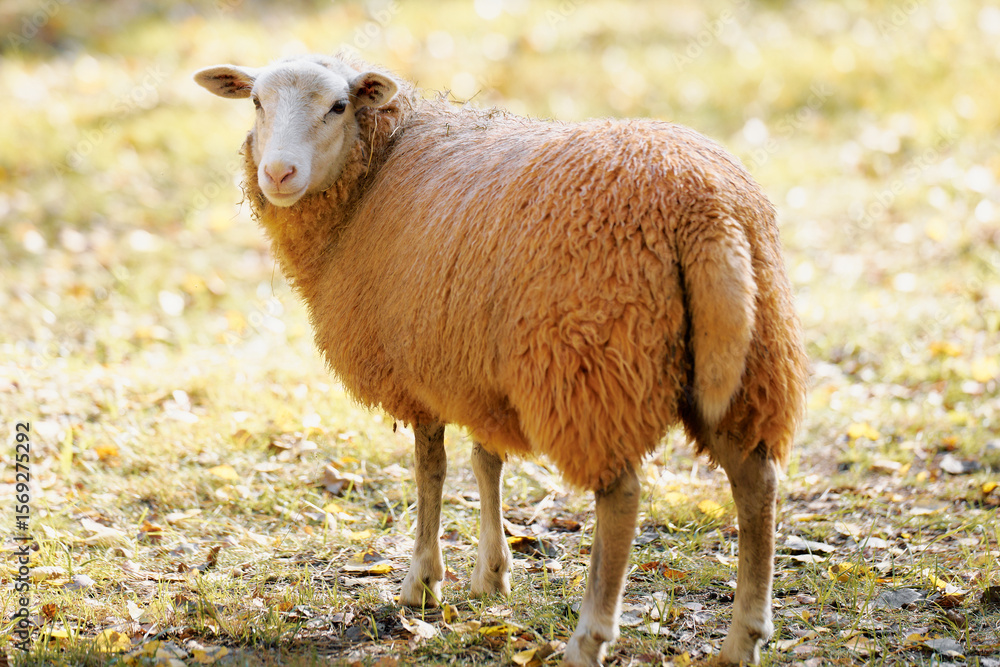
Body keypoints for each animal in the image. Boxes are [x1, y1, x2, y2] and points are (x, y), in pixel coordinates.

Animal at [194, 52, 808, 666]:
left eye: (339, 106)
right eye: (256, 102)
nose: (278, 174)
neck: (375, 171)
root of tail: (706, 210)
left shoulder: (418, 366)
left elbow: (431, 470)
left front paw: (423, 581)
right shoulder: (473, 364)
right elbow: (486, 460)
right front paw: (492, 574)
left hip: (591, 362)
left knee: (622, 497)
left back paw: (590, 636)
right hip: (752, 360)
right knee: (757, 481)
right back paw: (744, 637)